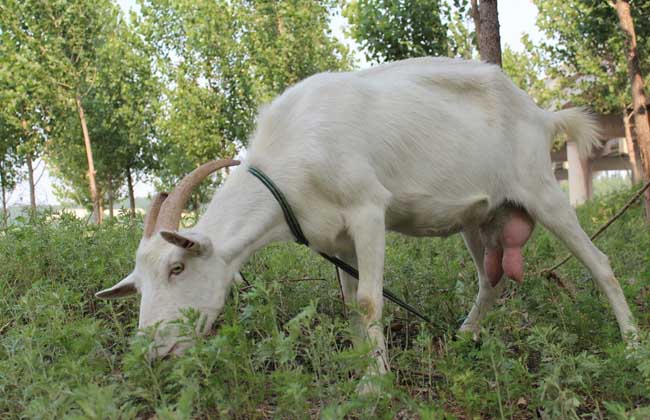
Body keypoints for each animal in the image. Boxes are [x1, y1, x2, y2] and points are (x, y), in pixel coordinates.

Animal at [96, 57, 632, 376]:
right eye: (137, 287)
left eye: (177, 267)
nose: (149, 352)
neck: (291, 153)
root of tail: (542, 115)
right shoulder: (334, 240)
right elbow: (350, 305)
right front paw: (361, 365)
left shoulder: (368, 211)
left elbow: (370, 302)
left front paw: (375, 385)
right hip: (481, 220)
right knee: (491, 280)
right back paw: (465, 337)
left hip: (542, 189)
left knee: (601, 263)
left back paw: (630, 342)